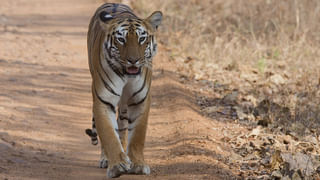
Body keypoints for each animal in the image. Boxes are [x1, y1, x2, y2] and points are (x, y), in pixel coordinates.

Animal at [85, 2, 162, 179]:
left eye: (142, 39)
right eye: (121, 39)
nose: (133, 60)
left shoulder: (140, 100)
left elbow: (137, 136)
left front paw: (137, 165)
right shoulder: (103, 100)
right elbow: (108, 134)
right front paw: (117, 166)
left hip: (125, 105)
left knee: (122, 126)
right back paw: (107, 159)